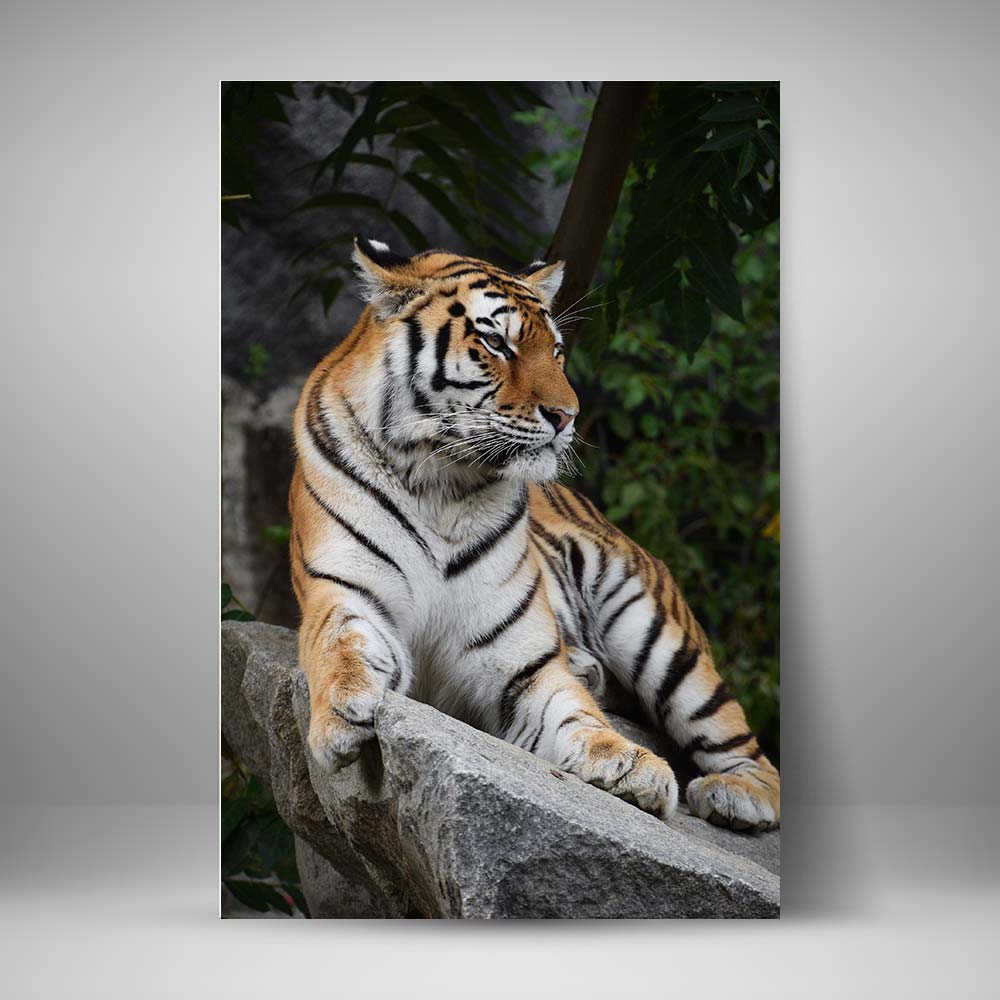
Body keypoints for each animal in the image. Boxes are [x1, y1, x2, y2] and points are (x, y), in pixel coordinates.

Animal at [288, 236, 780, 832]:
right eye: (496, 342)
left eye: (557, 351)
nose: (568, 416)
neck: (439, 482)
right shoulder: (344, 592)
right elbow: (341, 645)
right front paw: (344, 711)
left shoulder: (520, 661)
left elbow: (571, 713)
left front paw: (632, 766)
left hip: (657, 630)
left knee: (747, 747)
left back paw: (738, 795)